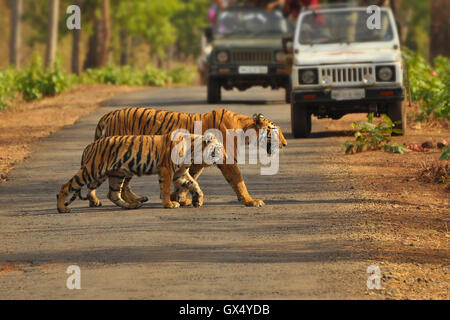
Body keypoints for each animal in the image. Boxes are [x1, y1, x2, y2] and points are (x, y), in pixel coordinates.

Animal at [57, 132, 224, 212]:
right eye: (218, 149)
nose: (225, 158)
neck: (193, 151)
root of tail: (90, 145)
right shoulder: (167, 170)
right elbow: (165, 188)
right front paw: (169, 204)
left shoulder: (180, 173)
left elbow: (194, 184)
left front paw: (198, 200)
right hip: (92, 170)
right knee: (66, 186)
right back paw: (62, 208)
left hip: (116, 174)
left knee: (113, 194)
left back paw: (131, 205)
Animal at [92, 107, 288, 208]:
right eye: (276, 131)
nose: (285, 144)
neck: (243, 129)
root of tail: (107, 115)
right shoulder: (226, 160)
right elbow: (238, 181)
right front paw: (250, 200)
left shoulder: (197, 163)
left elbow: (188, 180)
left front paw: (179, 197)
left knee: (121, 185)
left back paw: (135, 200)